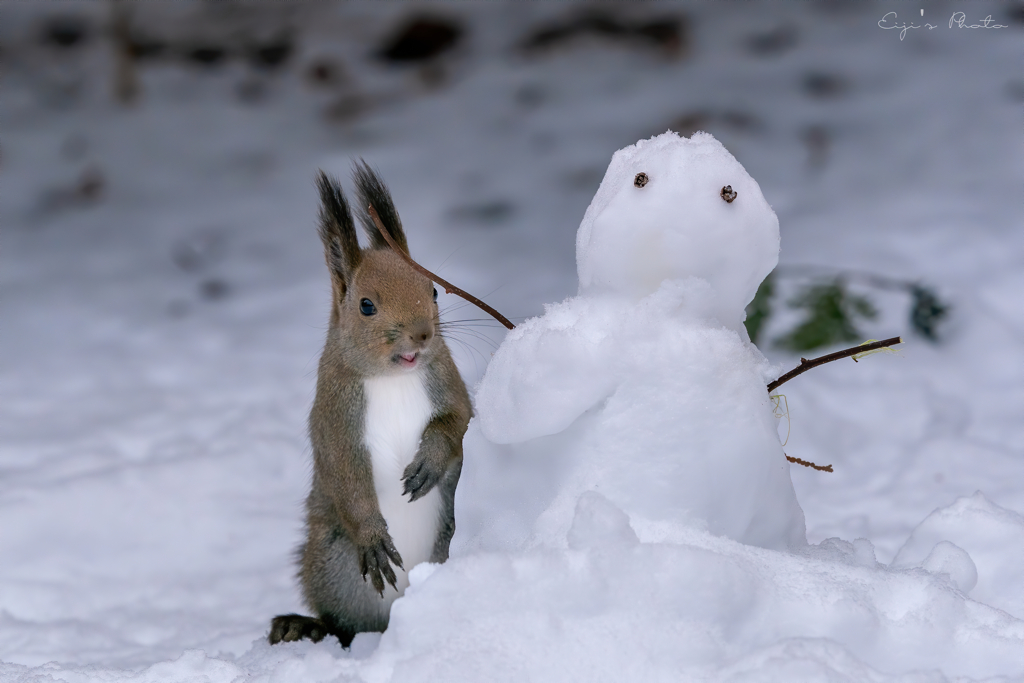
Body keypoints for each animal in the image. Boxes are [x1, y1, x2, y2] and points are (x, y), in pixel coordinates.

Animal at [266, 163, 468, 647]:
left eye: (434, 290)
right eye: (366, 306)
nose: (422, 333)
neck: (392, 379)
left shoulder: (448, 380)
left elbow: (458, 420)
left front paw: (430, 462)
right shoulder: (334, 414)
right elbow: (345, 472)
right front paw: (374, 535)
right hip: (333, 564)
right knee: (345, 625)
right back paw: (305, 626)